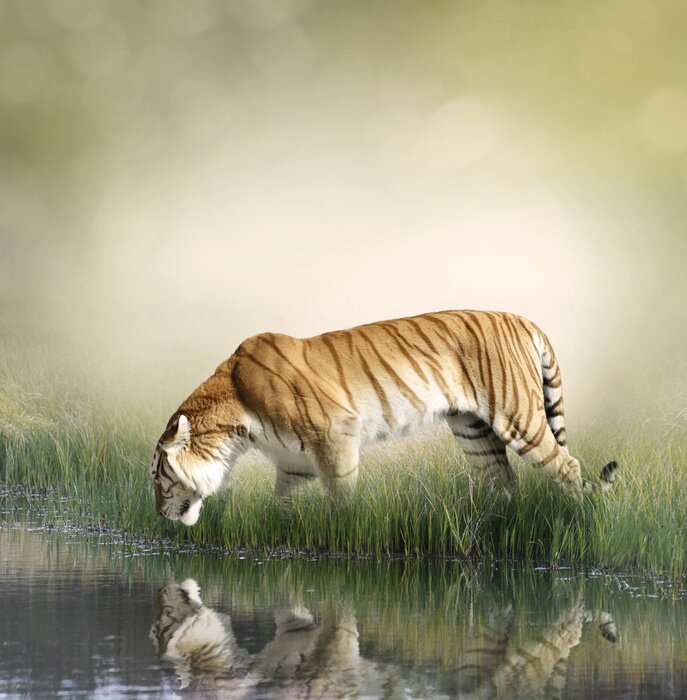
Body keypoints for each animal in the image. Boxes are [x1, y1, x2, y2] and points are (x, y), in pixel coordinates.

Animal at [150, 310, 618, 525]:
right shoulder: (294, 459)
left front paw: (342, 531)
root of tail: (521, 318)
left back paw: (577, 520)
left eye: (158, 476)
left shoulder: (335, 431)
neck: (235, 429)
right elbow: (282, 500)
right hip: (474, 431)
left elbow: (341, 496)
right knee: (503, 482)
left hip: (517, 415)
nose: (157, 515)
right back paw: (490, 527)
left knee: (567, 464)